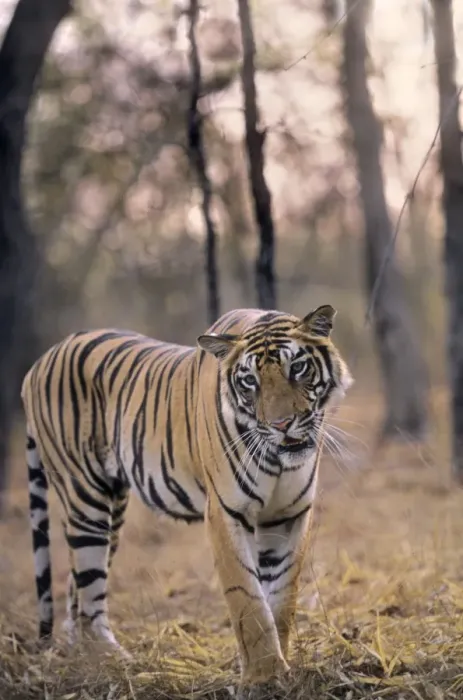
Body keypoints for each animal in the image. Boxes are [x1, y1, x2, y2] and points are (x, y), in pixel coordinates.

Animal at [21, 305, 352, 685]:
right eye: (250, 381)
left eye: (297, 367)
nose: (282, 425)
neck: (278, 459)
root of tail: (38, 363)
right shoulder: (225, 513)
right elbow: (248, 598)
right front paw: (264, 675)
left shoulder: (287, 516)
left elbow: (282, 598)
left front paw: (282, 668)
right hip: (85, 498)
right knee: (89, 591)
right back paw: (113, 662)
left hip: (111, 510)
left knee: (77, 586)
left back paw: (84, 661)